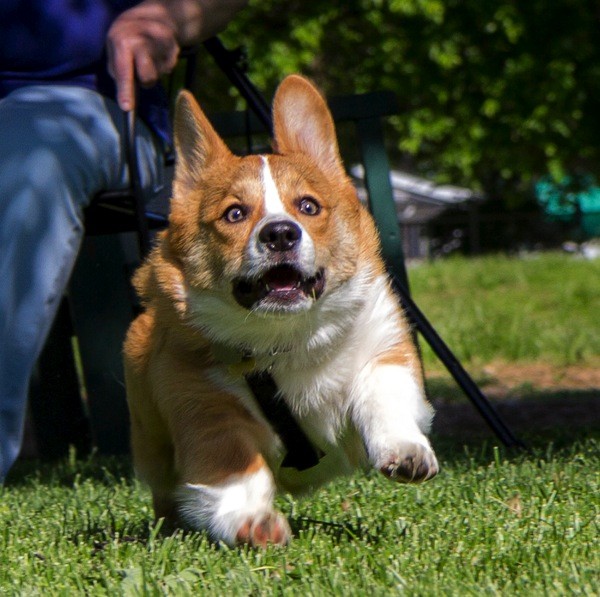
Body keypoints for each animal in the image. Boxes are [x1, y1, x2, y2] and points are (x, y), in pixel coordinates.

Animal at [124, 73, 438, 544]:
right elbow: (233, 467)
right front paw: (250, 520)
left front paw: (406, 450)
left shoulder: (383, 347)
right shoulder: (203, 406)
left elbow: (383, 394)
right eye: (235, 213)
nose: (280, 234)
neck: (286, 337)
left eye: (308, 206)